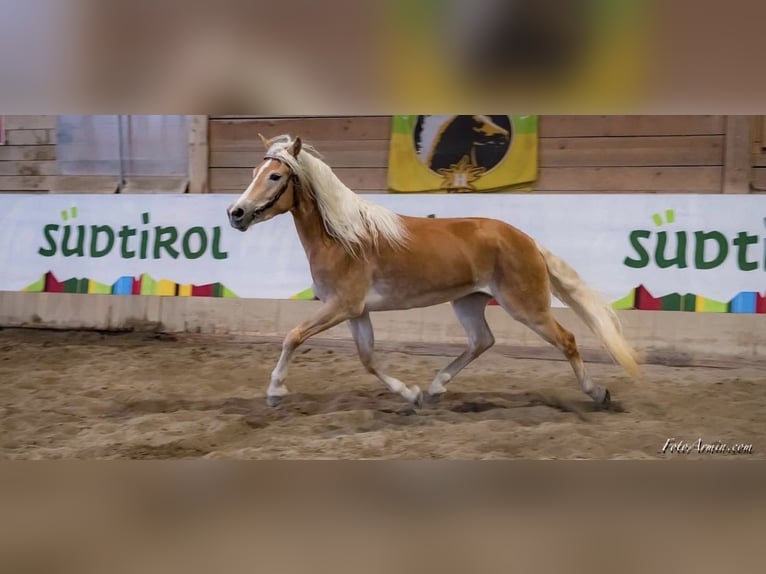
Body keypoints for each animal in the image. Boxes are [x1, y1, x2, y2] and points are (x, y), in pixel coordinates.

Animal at [227, 134, 639, 408]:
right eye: (255, 170)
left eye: (275, 176)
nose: (236, 213)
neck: (344, 237)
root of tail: (527, 240)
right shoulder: (356, 311)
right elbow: (368, 358)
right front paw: (409, 393)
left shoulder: (341, 306)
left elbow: (293, 336)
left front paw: (275, 391)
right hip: (469, 302)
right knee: (482, 341)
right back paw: (436, 386)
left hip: (526, 307)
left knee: (566, 339)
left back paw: (598, 393)